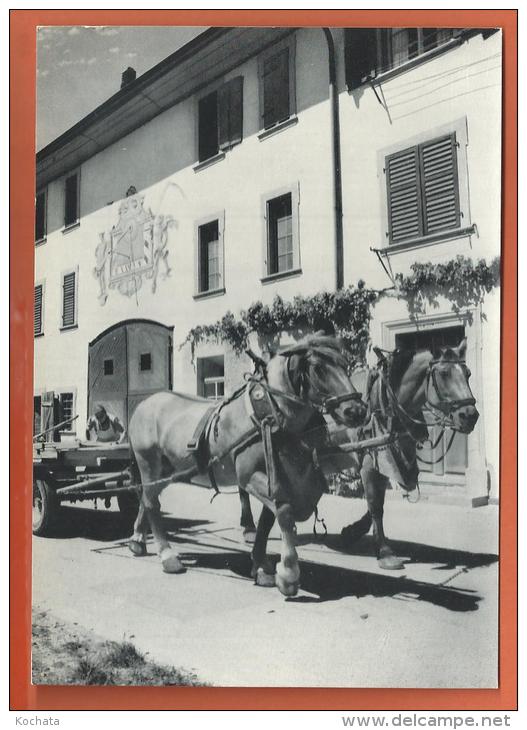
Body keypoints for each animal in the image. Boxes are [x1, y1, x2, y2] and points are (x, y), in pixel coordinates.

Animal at [127, 332, 368, 596]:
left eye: (345, 364)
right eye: (318, 368)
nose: (356, 410)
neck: (272, 413)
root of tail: (145, 404)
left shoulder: (277, 477)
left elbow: (267, 521)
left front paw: (261, 565)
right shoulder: (250, 476)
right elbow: (285, 514)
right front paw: (288, 573)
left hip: (169, 470)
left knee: (147, 498)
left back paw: (137, 540)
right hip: (149, 462)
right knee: (152, 503)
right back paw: (167, 555)